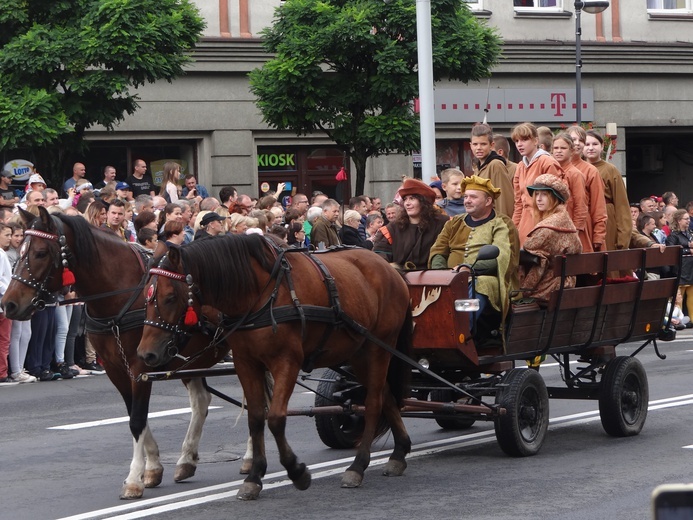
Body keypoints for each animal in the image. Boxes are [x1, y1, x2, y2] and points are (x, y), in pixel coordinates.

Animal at [1, 208, 255, 500]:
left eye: (41, 253)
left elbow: (137, 419)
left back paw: (249, 457)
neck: (121, 296)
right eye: (19, 250)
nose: (9, 304)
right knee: (203, 401)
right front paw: (153, 468)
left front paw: (134, 480)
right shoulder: (116, 369)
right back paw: (186, 460)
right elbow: (136, 417)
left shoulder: (139, 367)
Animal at [138, 235, 414, 500]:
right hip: (358, 353)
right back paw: (399, 453)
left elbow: (276, 418)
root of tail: (389, 268)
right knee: (386, 396)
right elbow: (256, 418)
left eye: (170, 297)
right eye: (145, 297)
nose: (146, 353)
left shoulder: (286, 362)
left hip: (379, 348)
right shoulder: (246, 364)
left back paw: (358, 466)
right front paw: (254, 477)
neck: (260, 293)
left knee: (374, 403)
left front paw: (297, 471)